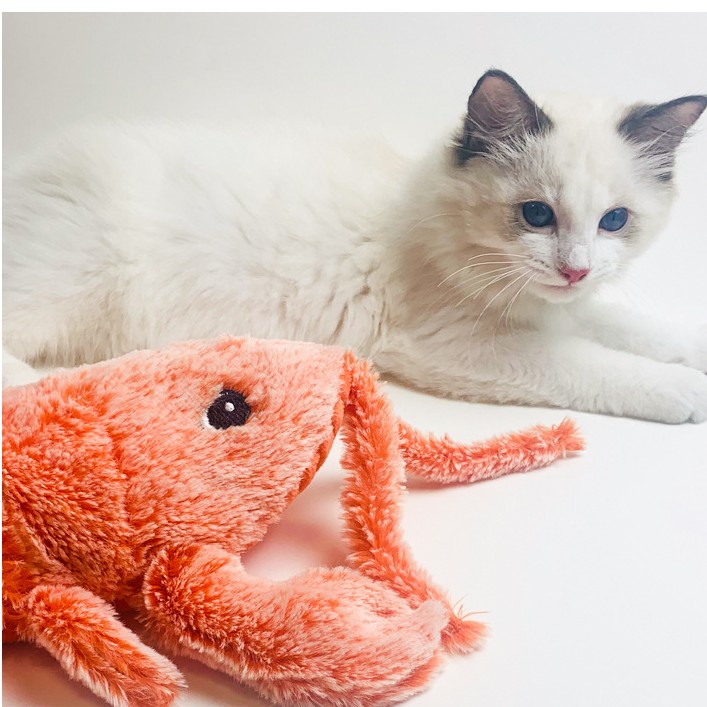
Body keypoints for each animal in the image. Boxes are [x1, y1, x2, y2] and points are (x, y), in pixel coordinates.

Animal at [4, 70, 707, 426]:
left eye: (614, 221)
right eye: (536, 215)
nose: (574, 268)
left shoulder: (562, 307)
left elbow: (632, 328)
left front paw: (690, 354)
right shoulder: (460, 345)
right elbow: (596, 366)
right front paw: (686, 391)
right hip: (70, 284)